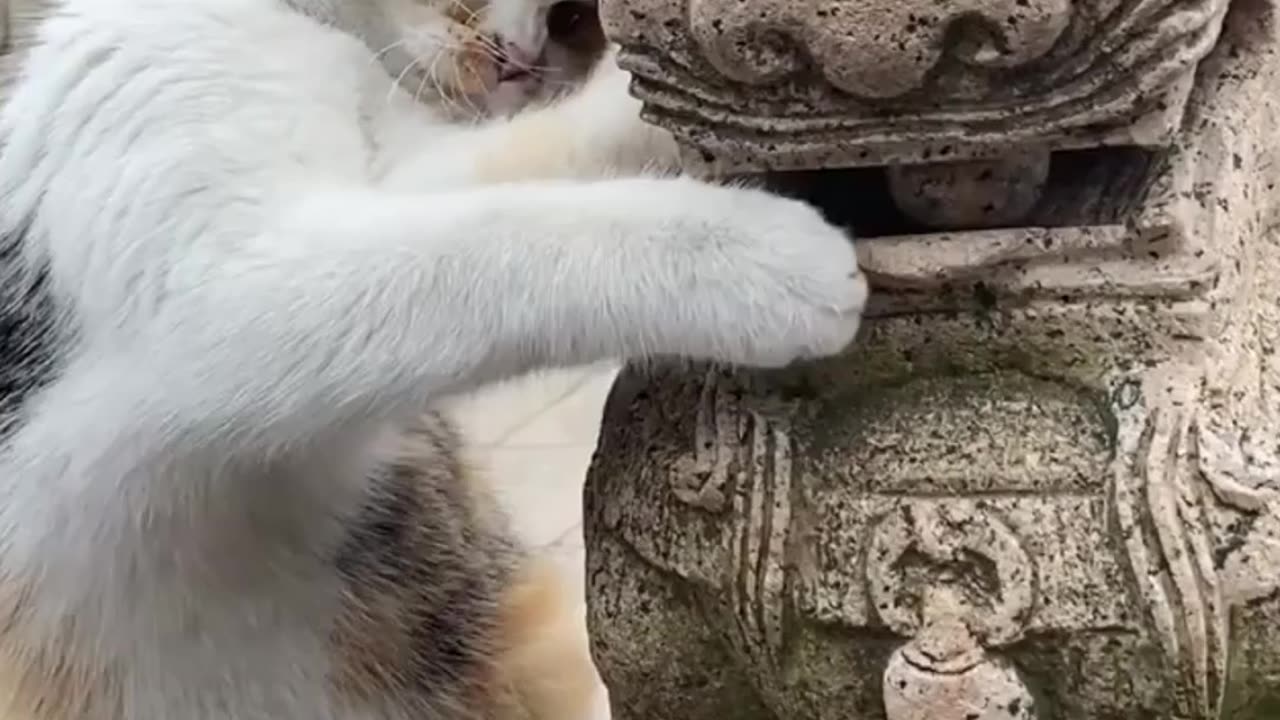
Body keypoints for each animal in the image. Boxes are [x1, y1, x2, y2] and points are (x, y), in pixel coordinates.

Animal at [0, 0, 870, 712]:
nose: (518, 58)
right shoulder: (222, 294)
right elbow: (492, 238)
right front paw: (768, 258)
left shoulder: (397, 171)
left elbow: (518, 160)